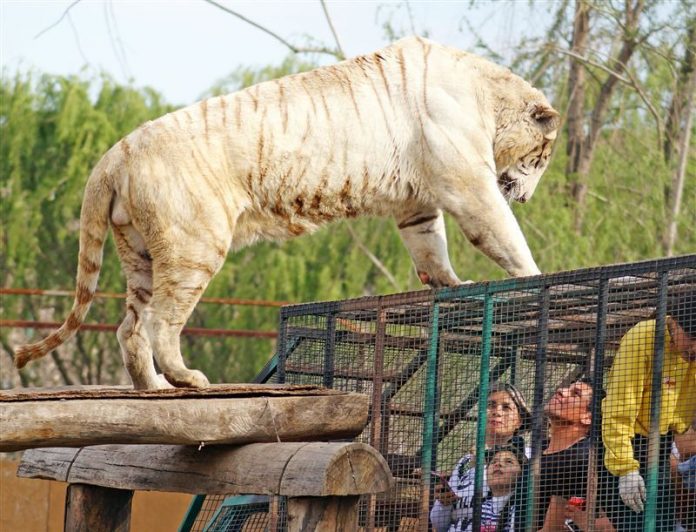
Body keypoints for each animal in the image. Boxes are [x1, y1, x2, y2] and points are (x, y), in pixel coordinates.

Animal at [14, 36, 560, 386]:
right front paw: (537, 276)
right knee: (160, 323)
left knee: (129, 328)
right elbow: (503, 234)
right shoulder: (468, 184)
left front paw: (451, 284)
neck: (487, 96)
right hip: (194, 247)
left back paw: (154, 390)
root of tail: (114, 153)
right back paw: (188, 380)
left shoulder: (417, 203)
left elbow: (431, 249)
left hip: (139, 252)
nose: (526, 196)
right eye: (542, 157)